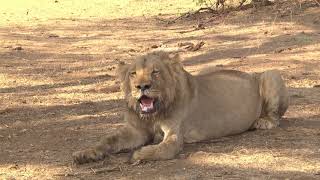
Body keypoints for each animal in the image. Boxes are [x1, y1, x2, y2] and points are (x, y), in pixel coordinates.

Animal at [72, 50, 290, 163]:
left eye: (155, 72)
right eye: (133, 73)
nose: (142, 87)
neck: (153, 115)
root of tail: (250, 73)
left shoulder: (175, 135)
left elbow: (161, 149)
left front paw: (138, 154)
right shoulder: (136, 130)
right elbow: (108, 139)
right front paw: (85, 153)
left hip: (271, 74)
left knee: (276, 117)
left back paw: (262, 122)